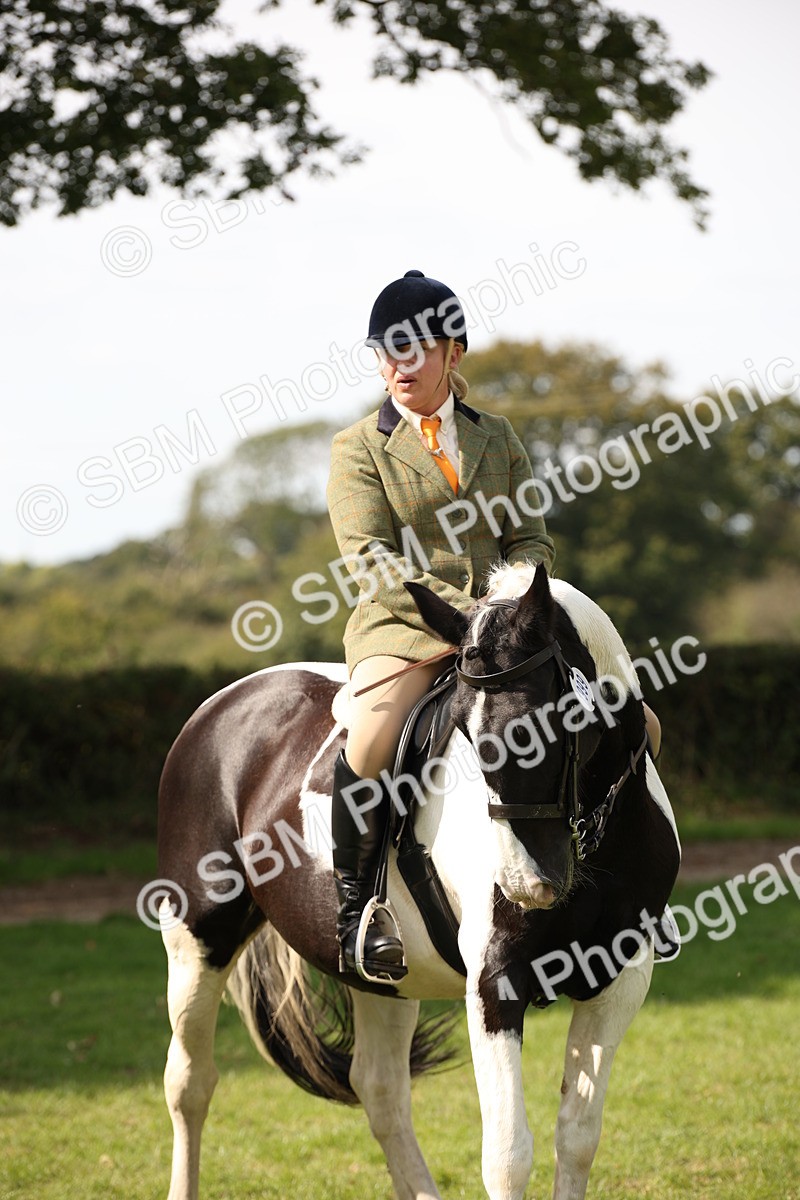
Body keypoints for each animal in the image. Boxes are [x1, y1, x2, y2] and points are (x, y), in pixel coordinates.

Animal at [156, 561, 680, 1200]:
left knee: (379, 1089)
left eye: (537, 731)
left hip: (381, 977)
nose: (524, 883)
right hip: (197, 941)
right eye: (470, 739)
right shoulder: (496, 982)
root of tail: (223, 703)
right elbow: (507, 1156)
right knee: (190, 1083)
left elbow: (578, 1137)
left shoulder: (621, 975)